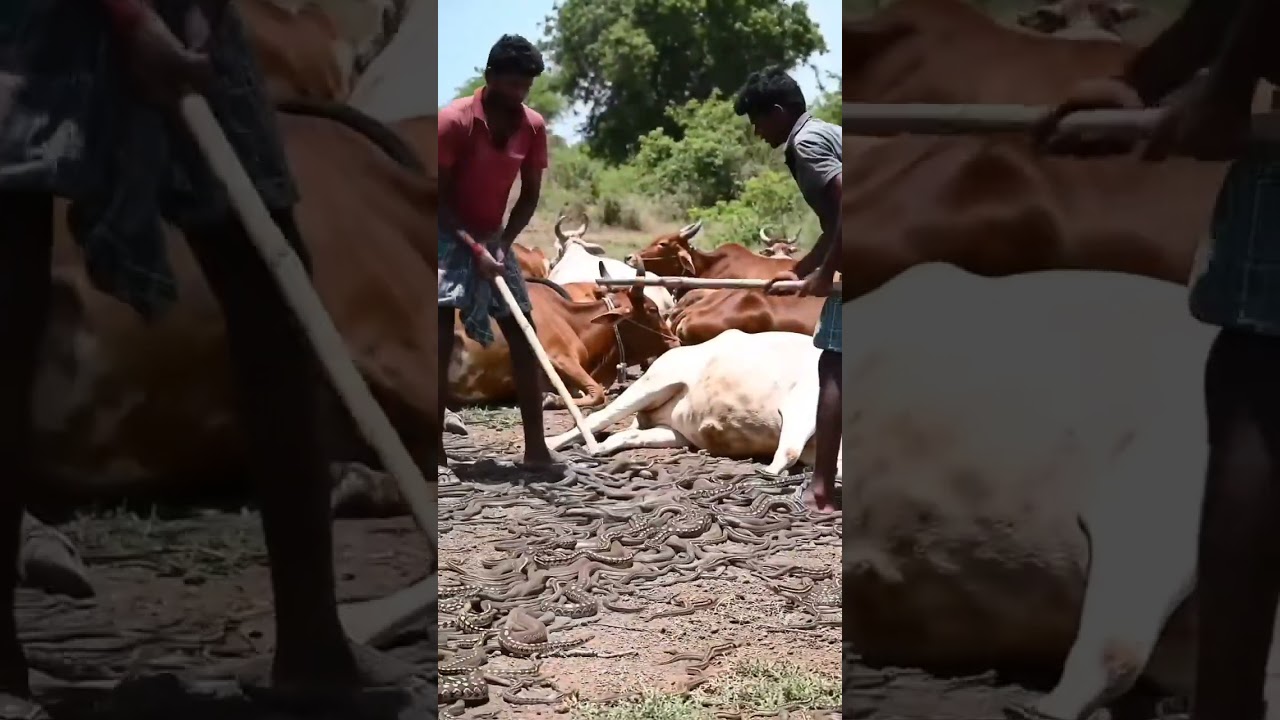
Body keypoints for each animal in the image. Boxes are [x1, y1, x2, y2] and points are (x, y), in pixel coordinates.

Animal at [546, 329, 842, 478]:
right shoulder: (802, 404)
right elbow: (788, 452)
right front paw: (766, 473)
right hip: (655, 380)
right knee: (598, 418)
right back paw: (551, 444)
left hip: (675, 432)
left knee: (626, 435)